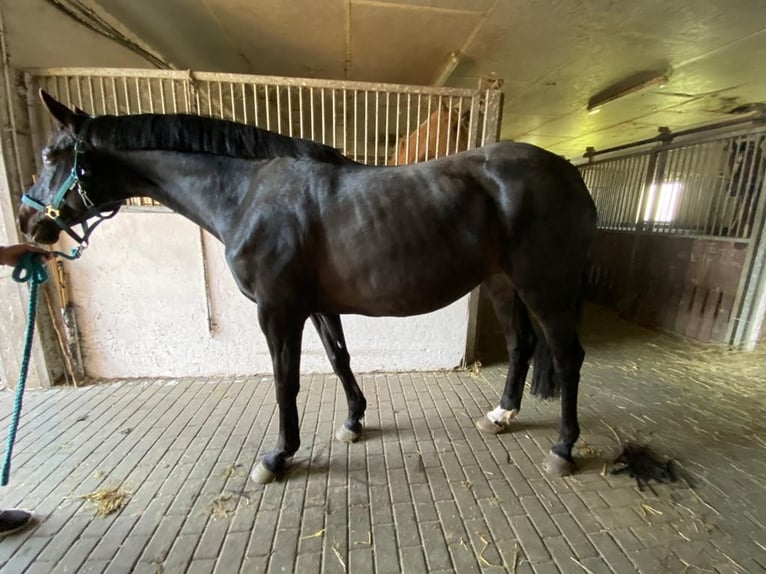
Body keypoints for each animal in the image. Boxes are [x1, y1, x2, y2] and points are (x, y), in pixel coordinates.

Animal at [20, 90, 597, 484]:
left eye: (50, 155)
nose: (29, 223)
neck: (246, 194)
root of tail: (568, 173)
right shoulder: (316, 306)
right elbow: (340, 360)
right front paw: (354, 422)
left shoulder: (277, 311)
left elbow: (285, 381)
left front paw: (277, 456)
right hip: (502, 283)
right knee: (522, 345)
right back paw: (501, 415)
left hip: (544, 285)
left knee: (569, 356)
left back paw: (563, 449)